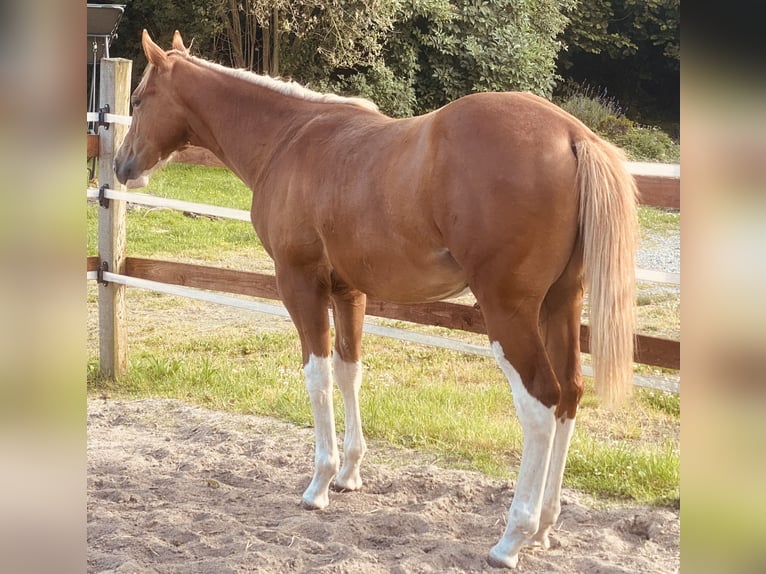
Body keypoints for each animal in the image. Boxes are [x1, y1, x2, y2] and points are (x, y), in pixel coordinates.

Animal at [115, 30, 638, 569]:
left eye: (139, 100)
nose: (121, 165)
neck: (289, 138)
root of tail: (572, 135)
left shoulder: (300, 283)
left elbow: (318, 374)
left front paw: (320, 483)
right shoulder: (350, 291)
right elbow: (350, 371)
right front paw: (349, 474)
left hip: (509, 313)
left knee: (540, 403)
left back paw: (514, 537)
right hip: (561, 303)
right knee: (570, 394)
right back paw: (545, 528)